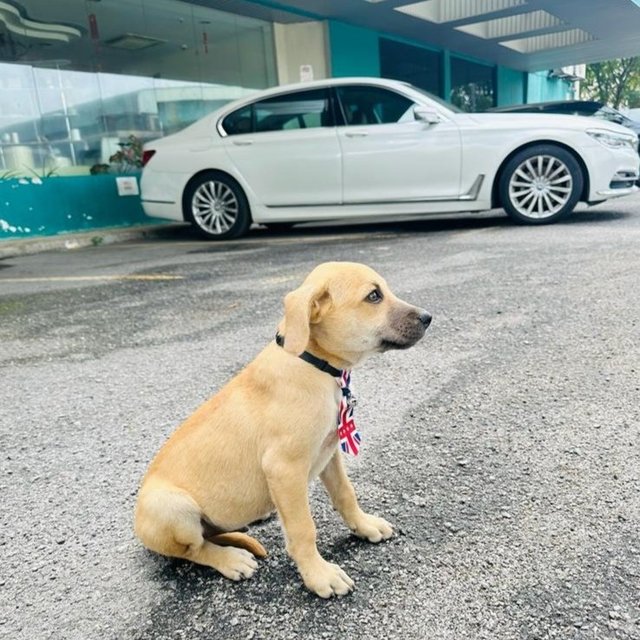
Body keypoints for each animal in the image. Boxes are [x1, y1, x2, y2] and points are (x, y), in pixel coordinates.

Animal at [137, 262, 432, 600]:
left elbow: (346, 493)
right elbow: (303, 529)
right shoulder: (285, 469)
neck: (314, 365)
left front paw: (364, 525)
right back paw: (231, 560)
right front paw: (319, 575)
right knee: (195, 549)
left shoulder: (329, 453)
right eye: (373, 296)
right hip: (172, 508)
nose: (428, 317)